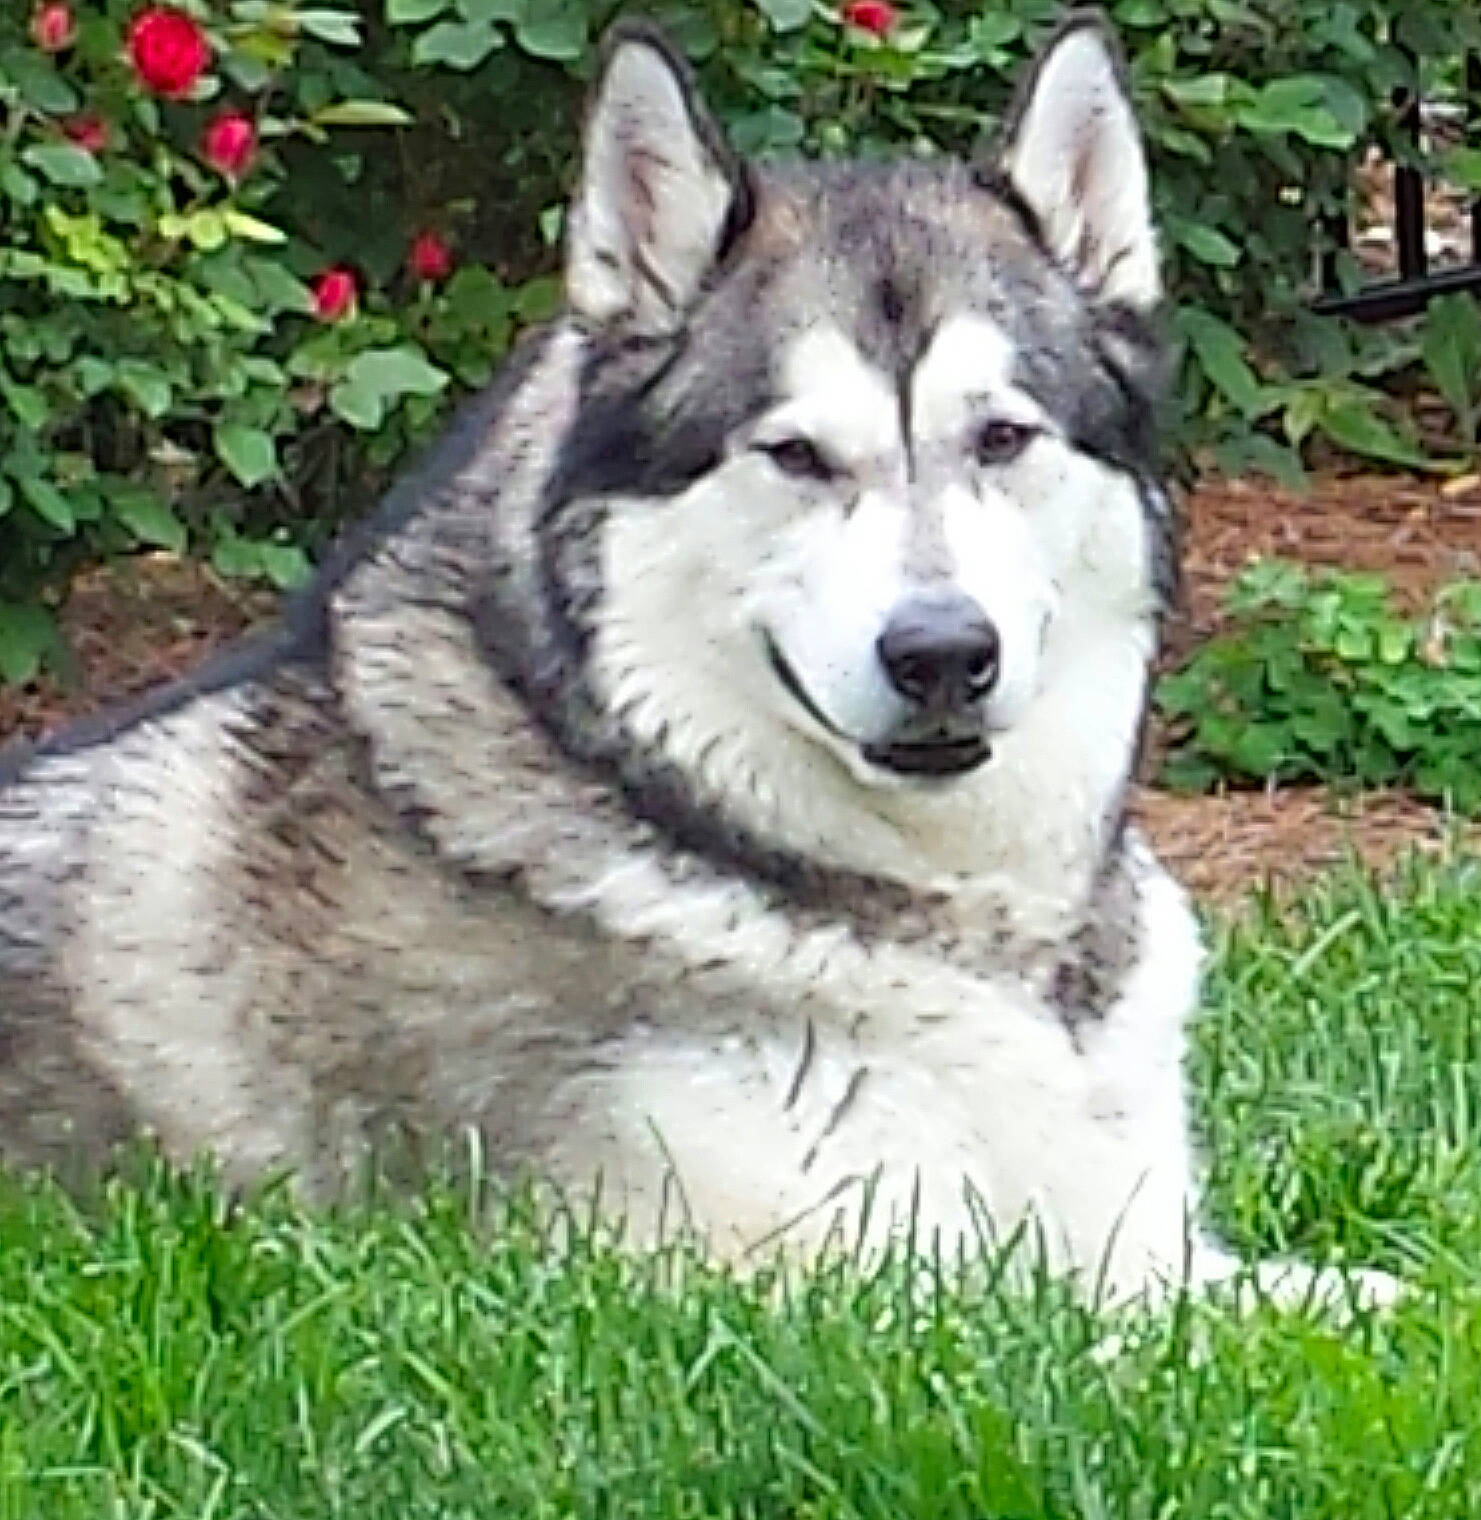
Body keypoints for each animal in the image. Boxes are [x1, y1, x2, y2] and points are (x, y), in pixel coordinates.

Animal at [0, 10, 1394, 1309]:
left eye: (1001, 436)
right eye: (794, 453)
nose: (942, 652)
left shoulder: (1152, 1242)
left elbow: (1375, 1295)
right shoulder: (804, 1280)